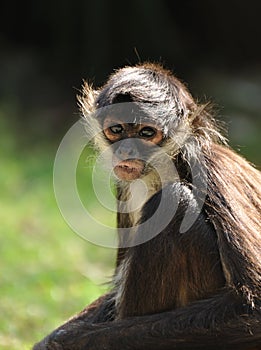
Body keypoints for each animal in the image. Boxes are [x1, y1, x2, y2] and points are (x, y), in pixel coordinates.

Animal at [34, 63, 260, 350]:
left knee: (174, 200)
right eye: (117, 130)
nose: (126, 150)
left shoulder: (209, 166)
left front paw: (66, 342)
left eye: (147, 133)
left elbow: (252, 311)